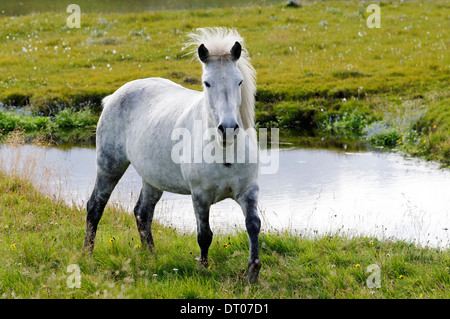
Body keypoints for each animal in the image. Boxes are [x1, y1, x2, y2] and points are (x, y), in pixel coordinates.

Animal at [82, 26, 262, 282]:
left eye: (239, 81)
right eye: (207, 83)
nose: (228, 128)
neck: (224, 152)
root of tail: (114, 96)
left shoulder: (249, 191)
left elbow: (253, 225)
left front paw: (253, 274)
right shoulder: (200, 196)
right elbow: (205, 235)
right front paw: (204, 269)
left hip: (152, 179)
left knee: (142, 213)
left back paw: (151, 257)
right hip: (109, 166)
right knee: (95, 207)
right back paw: (87, 254)